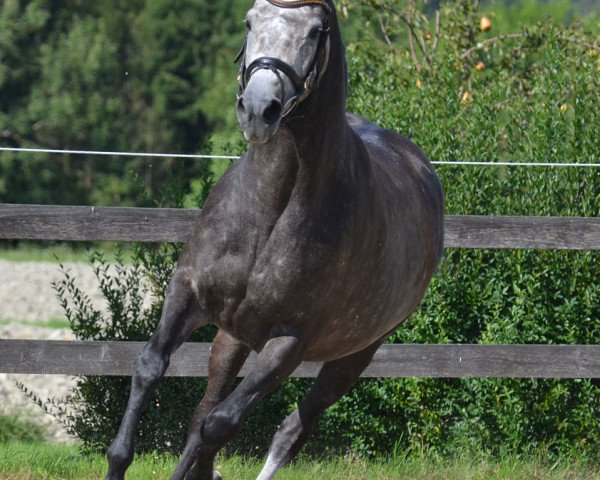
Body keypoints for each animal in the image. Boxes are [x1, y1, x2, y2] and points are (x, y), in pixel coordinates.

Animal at [105, 0, 442, 480]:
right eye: (250, 20)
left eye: (316, 30)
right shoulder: (187, 293)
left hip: (353, 356)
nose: (258, 108)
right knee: (205, 408)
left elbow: (219, 425)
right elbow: (152, 369)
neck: (271, 209)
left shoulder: (288, 344)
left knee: (288, 429)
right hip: (231, 338)